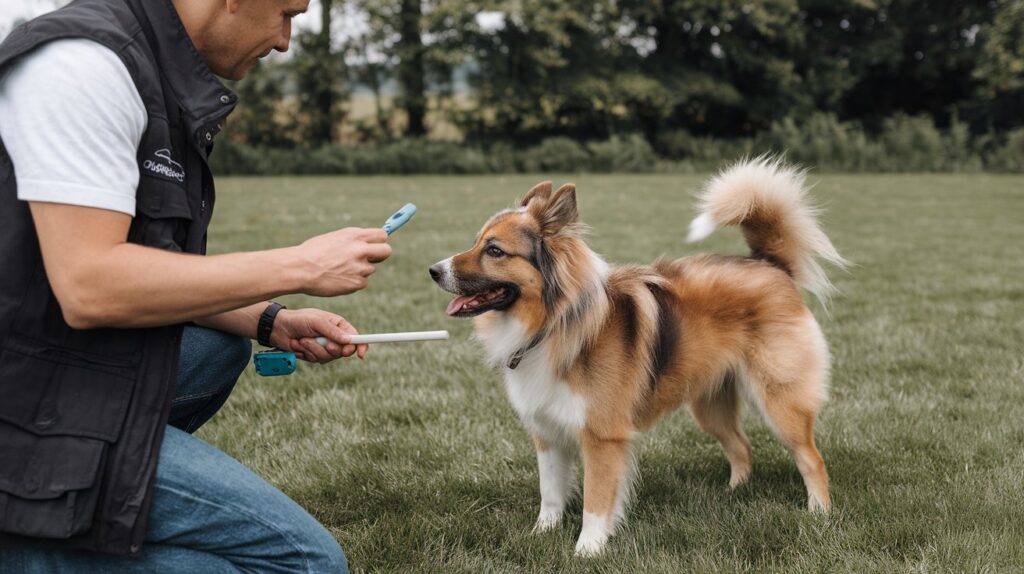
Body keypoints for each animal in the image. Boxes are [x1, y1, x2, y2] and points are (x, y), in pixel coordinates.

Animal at [430, 157, 847, 556]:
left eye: (495, 251)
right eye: (476, 242)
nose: (434, 270)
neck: (554, 324)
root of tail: (769, 264)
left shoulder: (603, 437)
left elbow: (596, 502)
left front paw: (588, 550)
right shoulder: (547, 433)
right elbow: (550, 494)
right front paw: (541, 535)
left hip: (779, 401)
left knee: (811, 458)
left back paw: (819, 514)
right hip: (709, 404)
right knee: (741, 447)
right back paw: (734, 493)